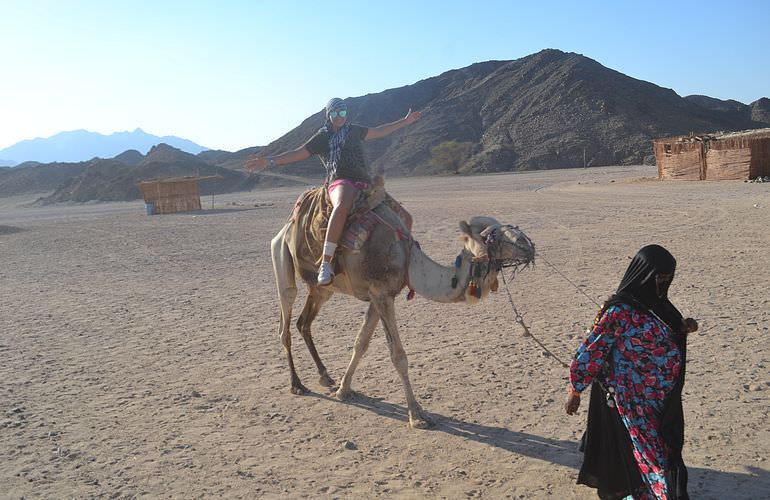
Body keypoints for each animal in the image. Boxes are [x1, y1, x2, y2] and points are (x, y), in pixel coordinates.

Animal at [270, 192, 536, 430]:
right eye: (492, 235)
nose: (528, 244)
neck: (409, 262)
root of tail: (285, 227)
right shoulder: (381, 293)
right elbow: (398, 356)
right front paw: (417, 415)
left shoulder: (380, 296)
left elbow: (361, 343)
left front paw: (343, 390)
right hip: (281, 258)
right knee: (286, 322)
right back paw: (297, 384)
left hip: (322, 288)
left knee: (303, 323)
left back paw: (326, 377)